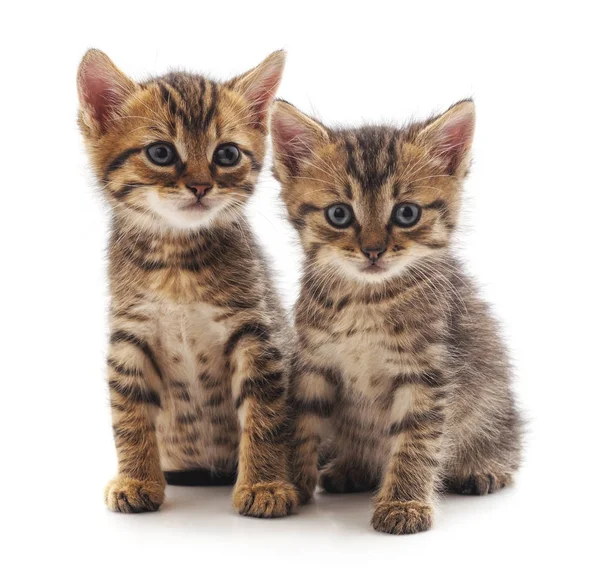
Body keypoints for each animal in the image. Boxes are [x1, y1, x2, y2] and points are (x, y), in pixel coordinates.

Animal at [77, 48, 298, 516]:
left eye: (227, 154)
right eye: (161, 152)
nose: (200, 186)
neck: (177, 261)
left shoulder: (257, 334)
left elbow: (265, 416)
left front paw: (265, 485)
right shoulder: (129, 337)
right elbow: (129, 416)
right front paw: (136, 479)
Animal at [270, 99, 524, 536]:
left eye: (406, 213)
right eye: (339, 214)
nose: (373, 250)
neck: (365, 299)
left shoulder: (427, 373)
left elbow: (416, 442)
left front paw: (403, 504)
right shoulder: (313, 363)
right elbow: (302, 422)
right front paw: (289, 483)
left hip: (495, 406)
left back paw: (484, 467)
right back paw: (352, 468)